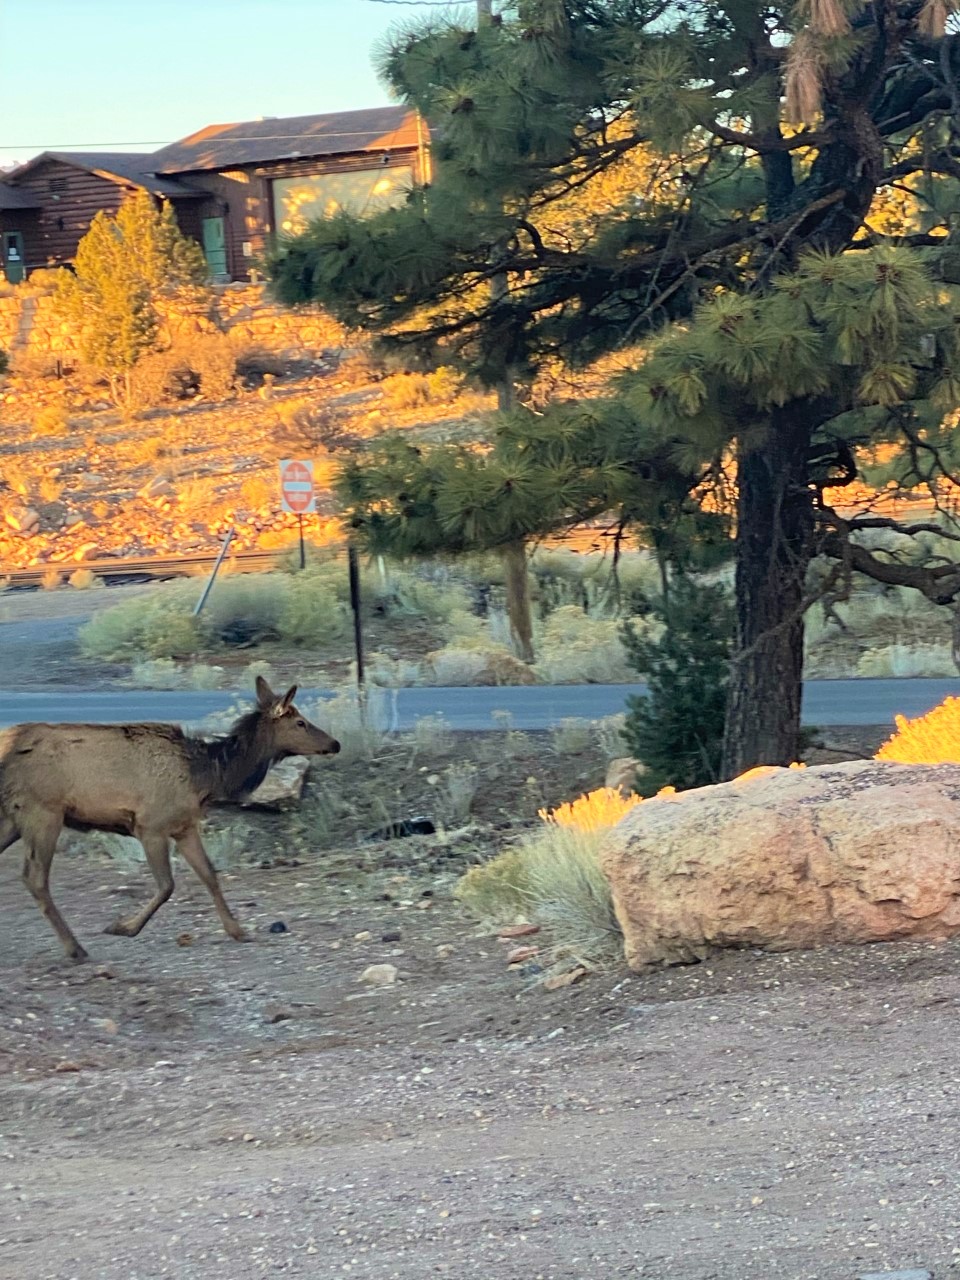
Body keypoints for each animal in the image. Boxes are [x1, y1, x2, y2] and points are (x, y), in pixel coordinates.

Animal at [0, 680, 343, 962]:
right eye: (300, 722)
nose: (335, 743)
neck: (208, 777)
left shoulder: (184, 826)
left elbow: (210, 875)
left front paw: (238, 930)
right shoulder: (150, 825)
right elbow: (167, 885)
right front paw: (122, 927)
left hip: (13, 817)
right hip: (42, 811)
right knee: (35, 878)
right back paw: (75, 949)